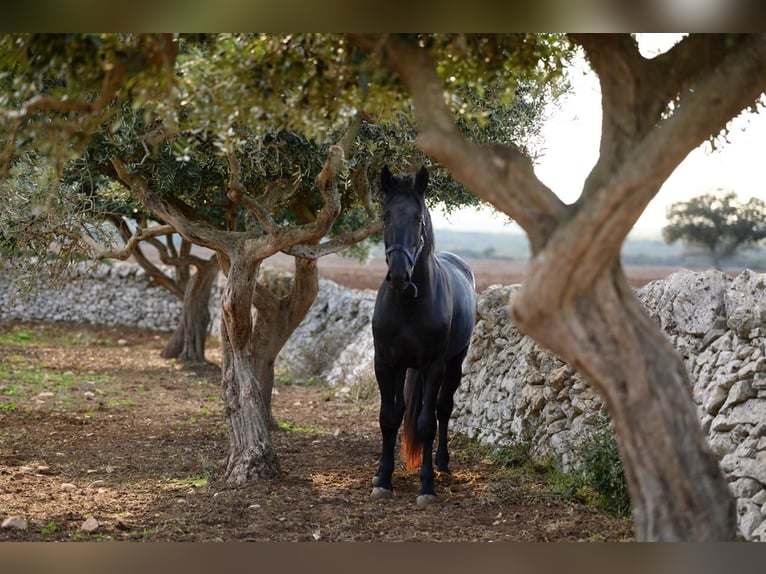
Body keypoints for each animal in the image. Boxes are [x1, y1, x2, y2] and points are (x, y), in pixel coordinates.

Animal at [374, 165, 480, 508]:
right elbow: (389, 417)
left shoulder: (433, 366)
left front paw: (426, 485)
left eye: (418, 219)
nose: (398, 276)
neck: (408, 303)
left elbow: (426, 424)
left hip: (453, 364)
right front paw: (383, 479)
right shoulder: (386, 364)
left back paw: (442, 465)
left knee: (442, 409)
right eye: (385, 217)